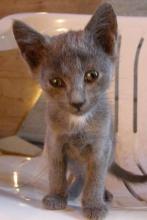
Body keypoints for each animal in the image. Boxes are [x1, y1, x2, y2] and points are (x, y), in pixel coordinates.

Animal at [12, 3, 147, 218]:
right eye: (55, 81)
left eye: (92, 75)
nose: (77, 102)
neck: (79, 124)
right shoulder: (55, 143)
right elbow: (57, 172)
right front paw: (57, 195)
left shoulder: (101, 148)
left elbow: (96, 178)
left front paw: (94, 204)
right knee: (78, 174)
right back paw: (73, 189)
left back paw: (101, 194)